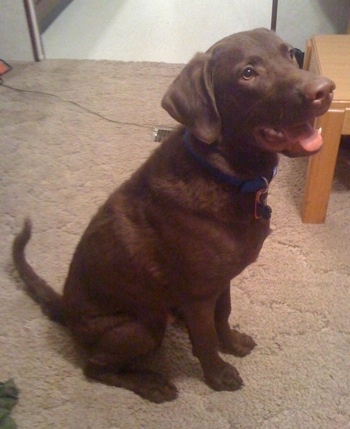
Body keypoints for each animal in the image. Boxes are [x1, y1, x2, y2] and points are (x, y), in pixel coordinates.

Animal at [11, 28, 334, 402]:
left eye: (289, 53)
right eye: (248, 73)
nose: (326, 89)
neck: (224, 173)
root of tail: (64, 308)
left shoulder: (220, 282)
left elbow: (222, 317)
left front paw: (232, 343)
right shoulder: (199, 295)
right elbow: (205, 339)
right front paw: (218, 375)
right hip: (141, 327)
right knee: (95, 367)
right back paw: (151, 383)